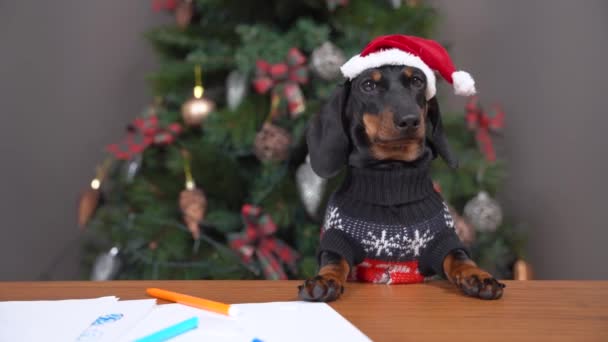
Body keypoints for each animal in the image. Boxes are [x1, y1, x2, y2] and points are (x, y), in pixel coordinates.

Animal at [298, 62, 504, 302]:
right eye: (368, 85)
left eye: (417, 81)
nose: (410, 120)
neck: (393, 177)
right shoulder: (336, 239)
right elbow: (335, 260)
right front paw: (325, 280)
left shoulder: (444, 240)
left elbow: (460, 257)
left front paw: (478, 276)